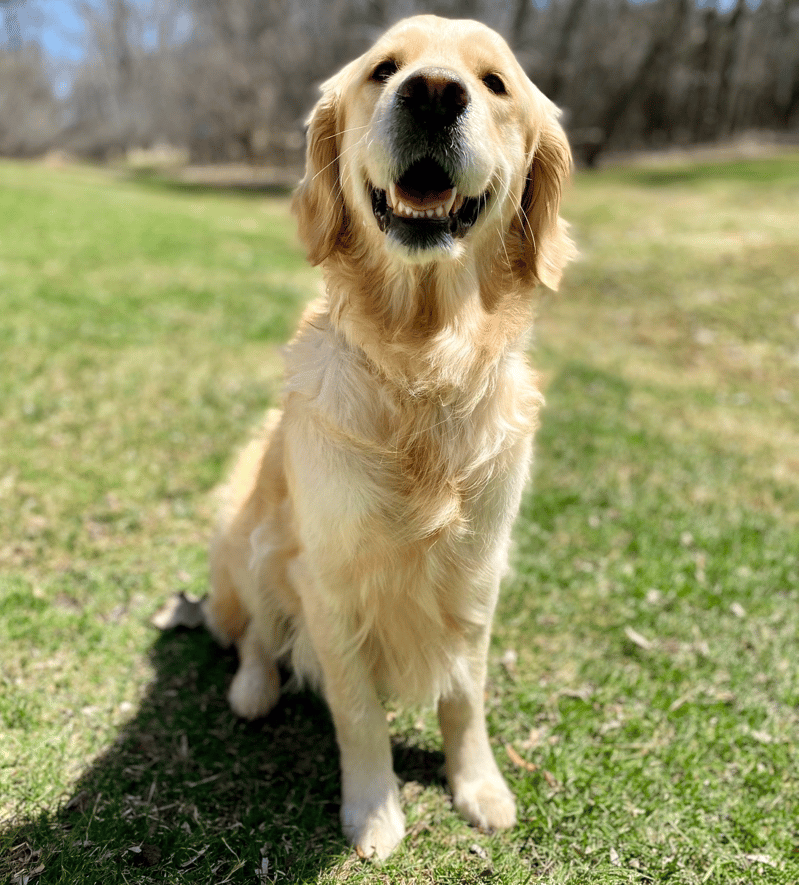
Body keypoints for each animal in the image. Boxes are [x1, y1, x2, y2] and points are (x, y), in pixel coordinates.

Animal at [203, 12, 572, 856]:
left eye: (495, 82)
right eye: (384, 69)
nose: (433, 93)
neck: (420, 365)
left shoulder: (478, 572)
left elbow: (465, 696)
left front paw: (480, 786)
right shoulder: (329, 583)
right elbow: (359, 710)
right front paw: (373, 810)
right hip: (250, 535)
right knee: (254, 631)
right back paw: (253, 687)